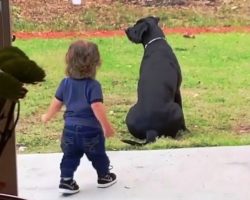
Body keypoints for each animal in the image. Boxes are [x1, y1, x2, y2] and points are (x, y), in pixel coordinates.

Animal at [123, 16, 188, 145]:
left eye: (136, 25)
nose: (125, 29)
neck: (156, 42)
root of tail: (151, 131)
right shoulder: (178, 90)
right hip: (177, 110)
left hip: (130, 114)